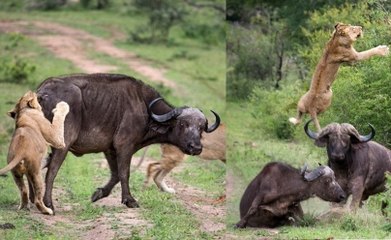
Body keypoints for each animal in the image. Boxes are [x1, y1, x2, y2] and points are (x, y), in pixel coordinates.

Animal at [36, 73, 220, 212]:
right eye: (182, 124)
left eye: (201, 128)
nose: (196, 147)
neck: (145, 109)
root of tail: (42, 93)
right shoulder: (124, 146)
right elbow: (125, 173)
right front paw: (130, 200)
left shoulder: (110, 149)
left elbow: (116, 174)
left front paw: (98, 194)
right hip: (62, 144)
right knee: (51, 171)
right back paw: (48, 204)